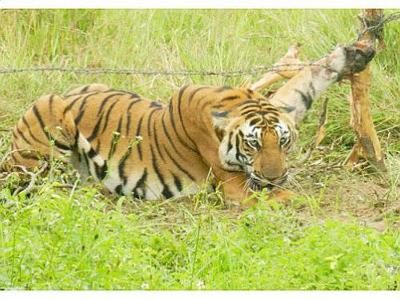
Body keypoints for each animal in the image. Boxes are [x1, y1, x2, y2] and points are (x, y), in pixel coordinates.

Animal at [3, 41, 376, 206]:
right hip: (48, 112)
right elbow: (290, 197)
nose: (275, 176)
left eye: (282, 141)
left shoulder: (281, 105)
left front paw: (352, 54)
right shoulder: (236, 188)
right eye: (253, 143)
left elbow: (305, 81)